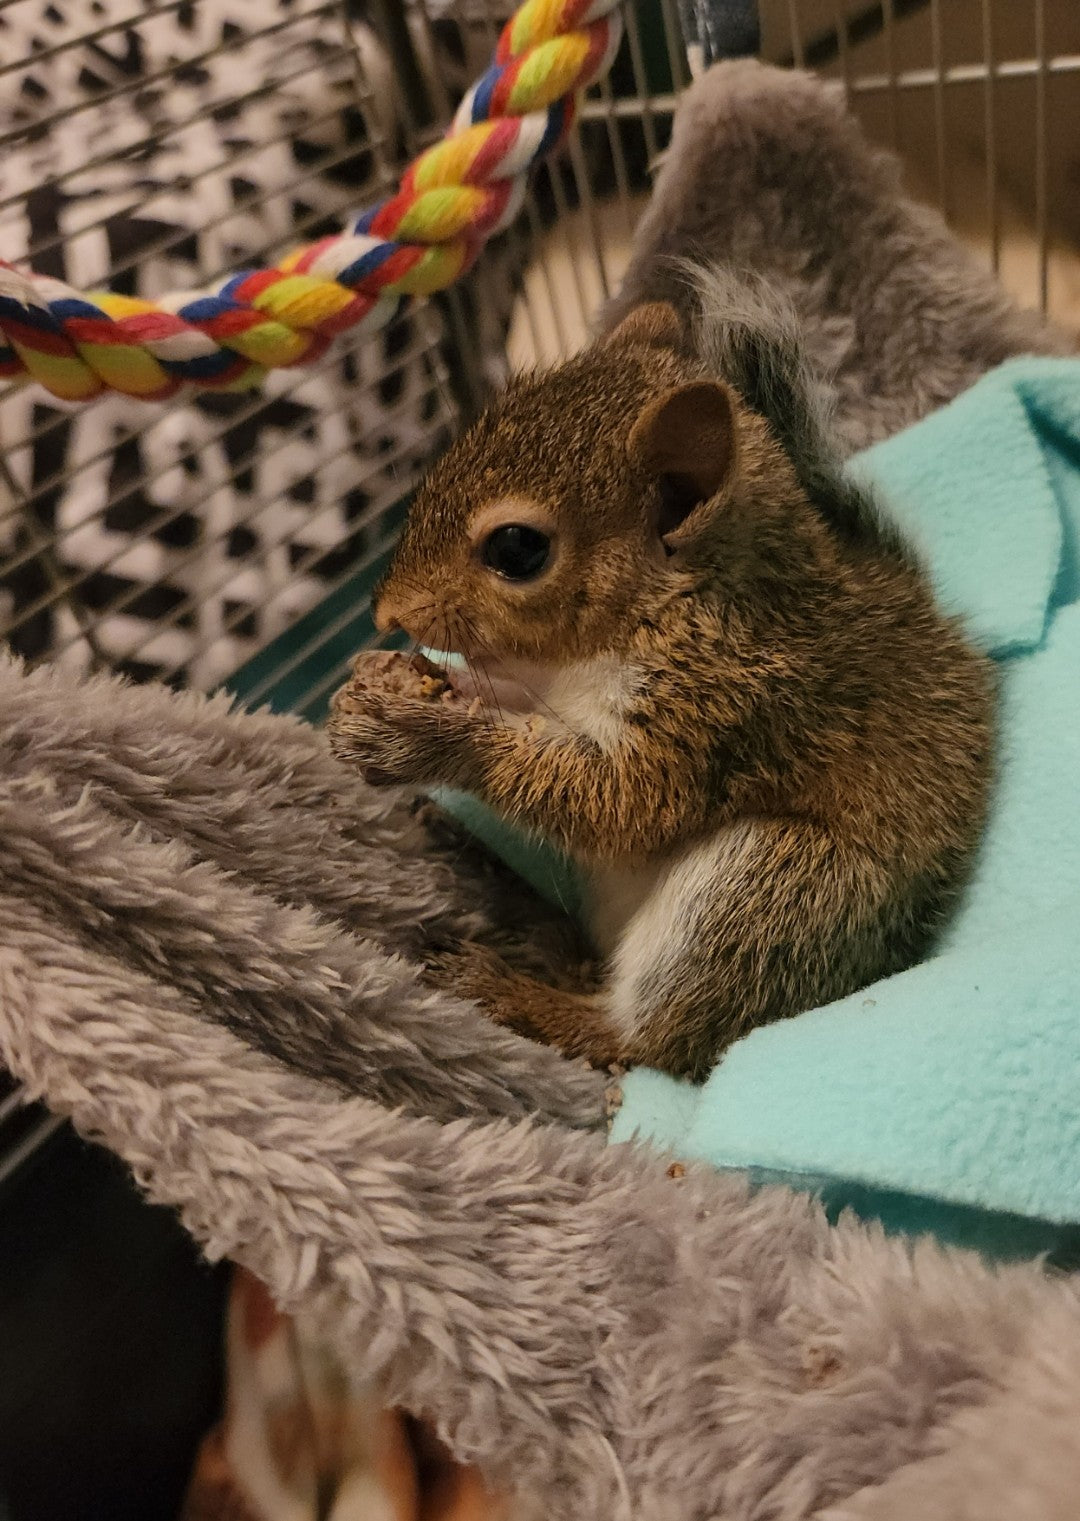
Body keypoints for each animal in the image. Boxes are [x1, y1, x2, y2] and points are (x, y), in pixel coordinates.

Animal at [328, 273, 997, 1082]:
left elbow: (620, 803)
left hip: (774, 888)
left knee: (648, 1042)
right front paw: (389, 681)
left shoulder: (731, 701)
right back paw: (523, 910)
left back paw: (517, 993)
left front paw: (419, 733)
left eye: (517, 549)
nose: (387, 613)